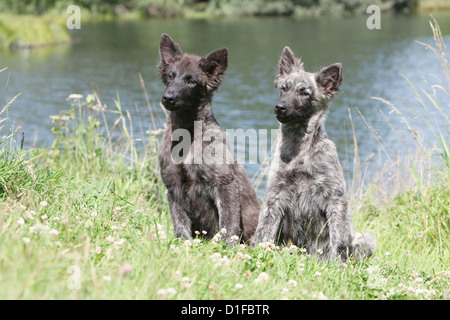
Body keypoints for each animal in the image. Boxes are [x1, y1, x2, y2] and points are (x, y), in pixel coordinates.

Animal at [253, 47, 376, 262]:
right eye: (283, 88)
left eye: (304, 92)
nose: (280, 107)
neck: (300, 152)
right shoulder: (275, 194)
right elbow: (264, 230)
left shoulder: (335, 198)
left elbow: (338, 238)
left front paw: (336, 264)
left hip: (364, 239)